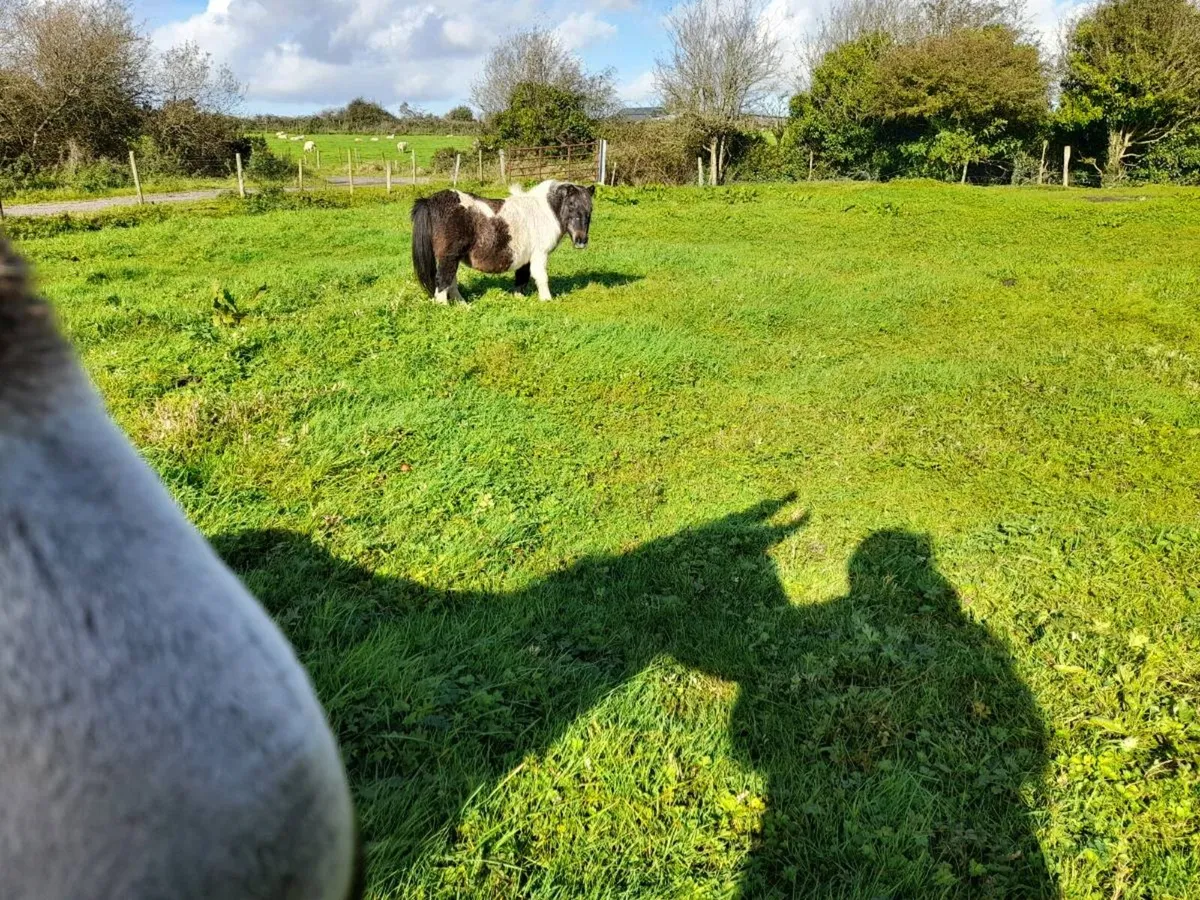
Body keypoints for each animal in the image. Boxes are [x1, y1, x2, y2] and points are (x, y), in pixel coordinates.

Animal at [410, 180, 594, 303]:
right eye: (571, 204)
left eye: (590, 209)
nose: (581, 240)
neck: (544, 211)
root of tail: (429, 201)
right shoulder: (539, 254)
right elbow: (541, 277)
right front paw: (547, 300)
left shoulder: (526, 258)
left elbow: (522, 278)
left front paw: (519, 299)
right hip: (449, 258)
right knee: (443, 282)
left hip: (452, 259)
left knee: (451, 283)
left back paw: (464, 305)